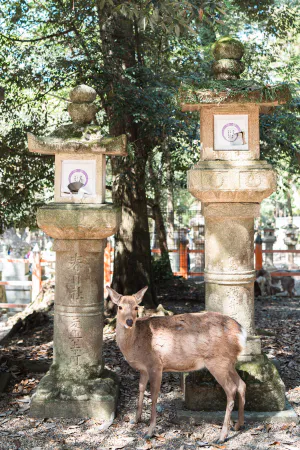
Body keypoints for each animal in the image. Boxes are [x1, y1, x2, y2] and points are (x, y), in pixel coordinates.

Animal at [106, 286, 247, 442]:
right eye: (120, 307)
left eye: (136, 307)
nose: (130, 322)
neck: (134, 345)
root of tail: (242, 333)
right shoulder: (143, 369)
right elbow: (141, 389)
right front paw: (135, 420)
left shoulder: (155, 364)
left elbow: (154, 395)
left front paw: (149, 431)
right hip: (229, 362)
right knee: (242, 385)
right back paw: (238, 425)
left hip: (217, 361)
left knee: (231, 389)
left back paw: (222, 436)